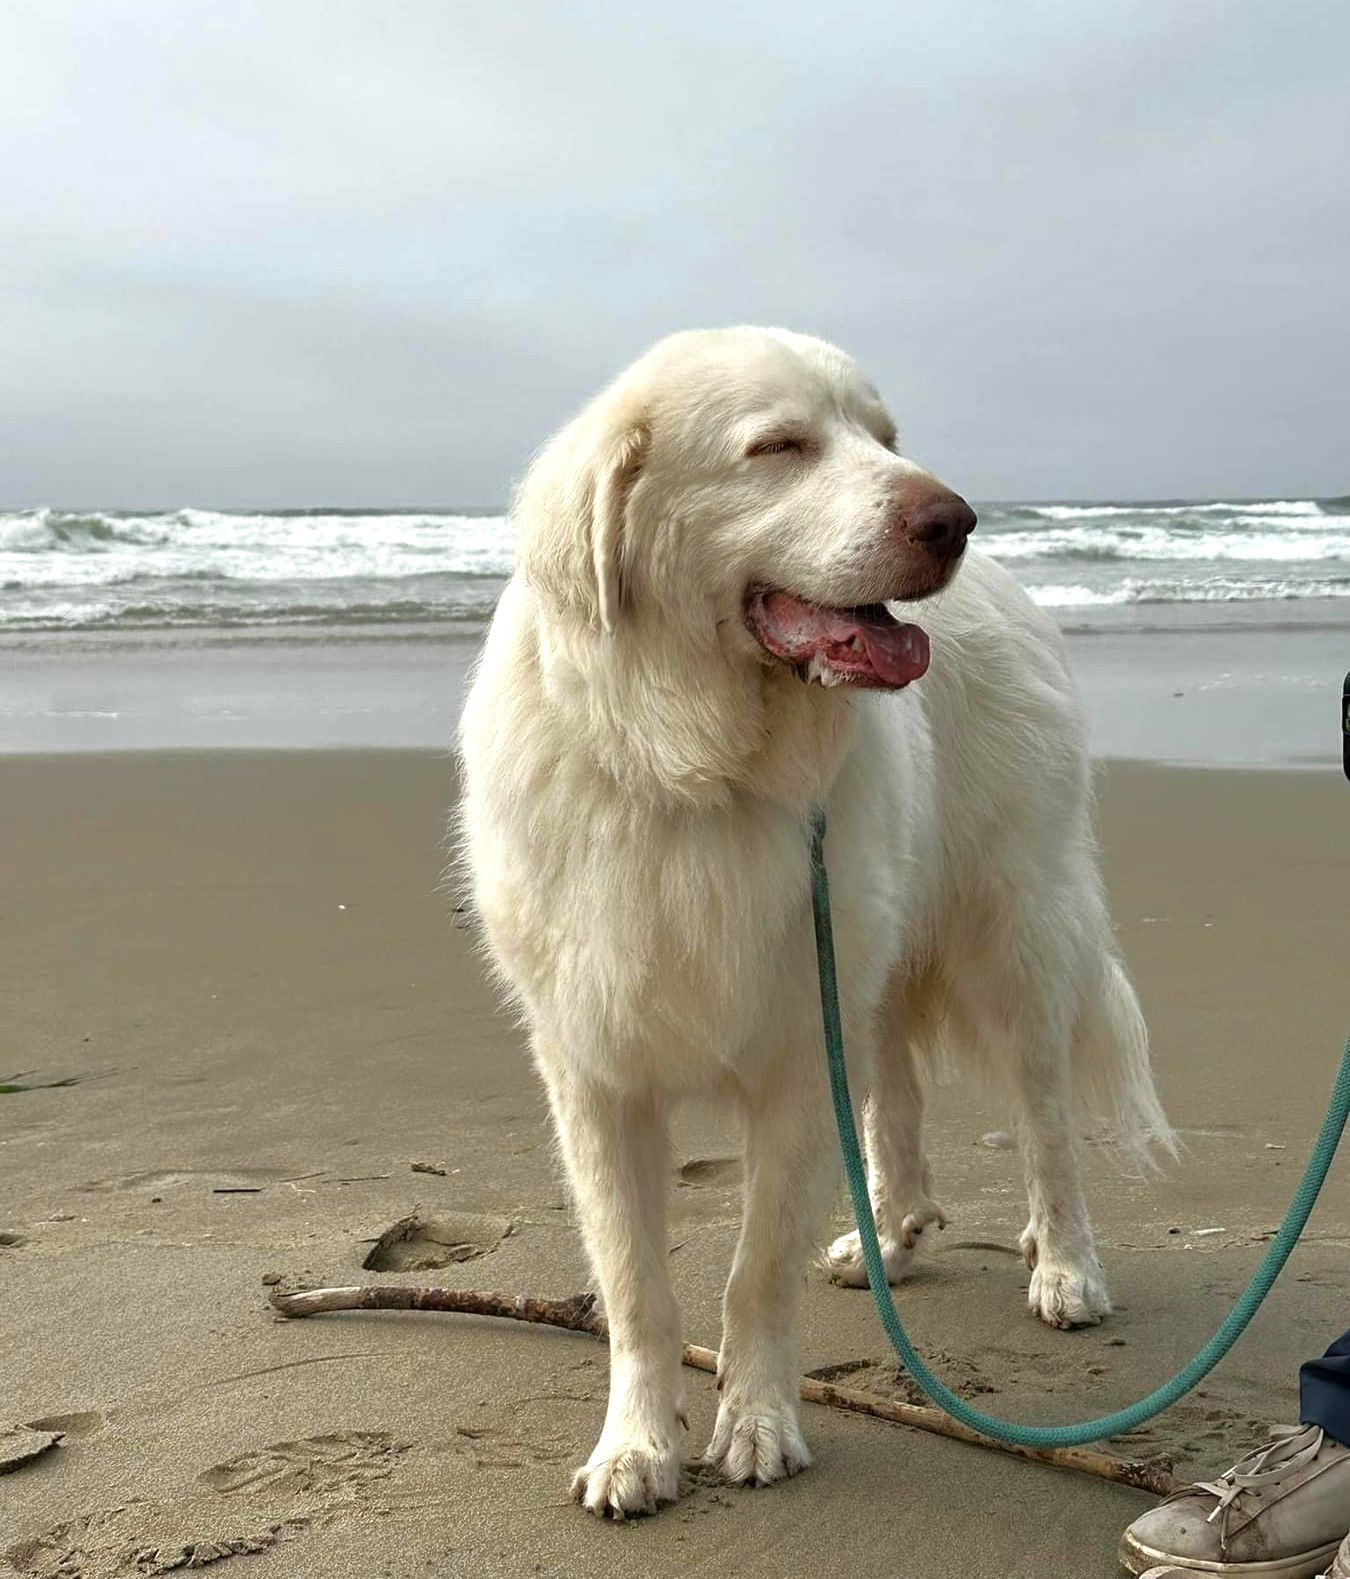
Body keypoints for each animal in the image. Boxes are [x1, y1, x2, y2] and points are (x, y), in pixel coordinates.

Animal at [457, 330, 1174, 1515]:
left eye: (884, 439)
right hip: (868, 959)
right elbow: (636, 1285)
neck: (691, 764)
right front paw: (636, 1447)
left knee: (1047, 1126)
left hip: (1012, 940)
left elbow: (752, 1273)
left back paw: (1067, 1269)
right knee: (897, 1105)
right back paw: (894, 1236)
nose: (954, 519)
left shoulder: (793, 1056)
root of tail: (1011, 589)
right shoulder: (596, 1071)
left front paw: (756, 1425)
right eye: (780, 446)